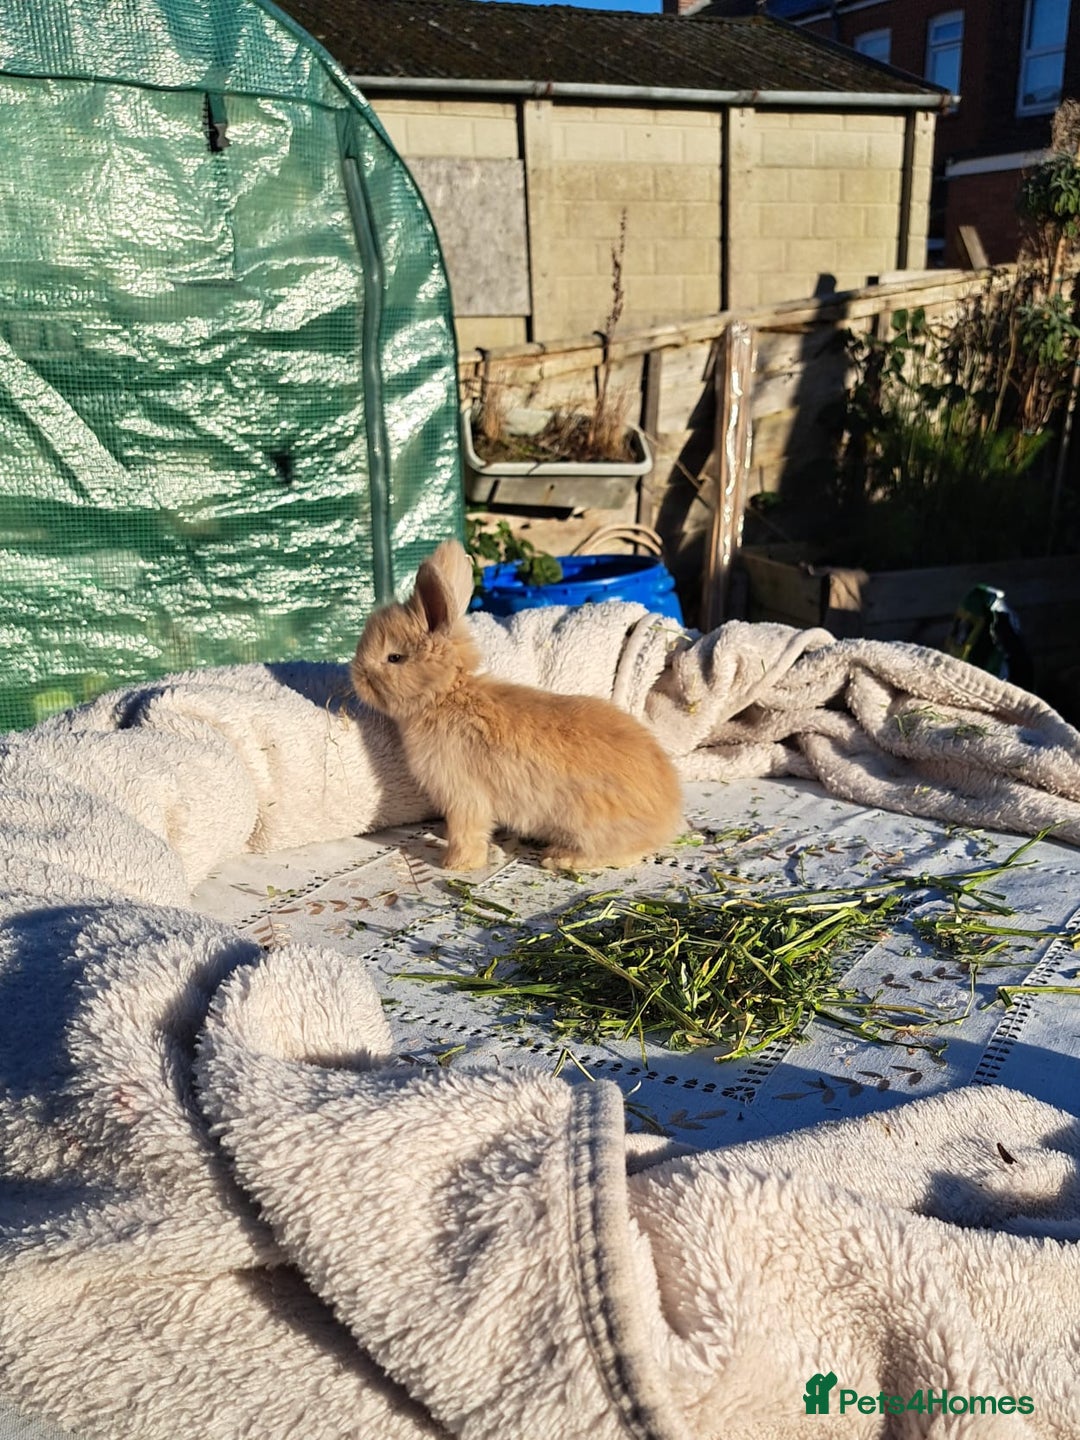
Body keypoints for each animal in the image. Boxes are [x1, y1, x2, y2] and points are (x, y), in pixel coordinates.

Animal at [350, 538, 682, 872]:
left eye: (394, 657)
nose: (355, 676)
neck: (445, 697)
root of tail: (668, 813)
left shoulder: (464, 796)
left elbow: (467, 832)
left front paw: (455, 865)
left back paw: (560, 858)